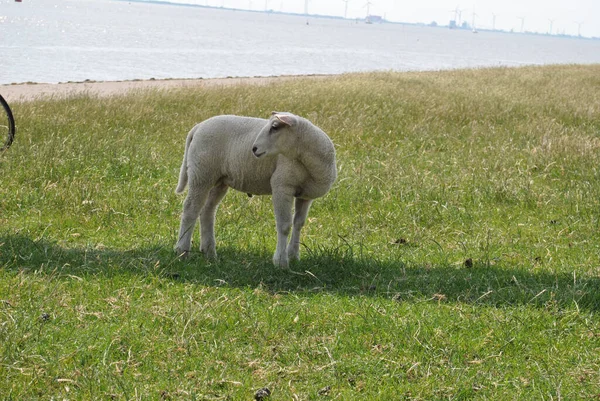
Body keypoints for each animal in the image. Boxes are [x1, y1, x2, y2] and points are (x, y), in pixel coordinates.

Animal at [173, 111, 338, 268]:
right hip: (201, 174)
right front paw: (281, 261)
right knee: (190, 209)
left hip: (220, 180)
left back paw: (209, 252)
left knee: (207, 210)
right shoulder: (282, 185)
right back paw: (182, 251)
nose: (253, 149)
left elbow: (299, 223)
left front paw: (294, 255)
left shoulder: (305, 195)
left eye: (275, 127)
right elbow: (284, 225)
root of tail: (198, 127)